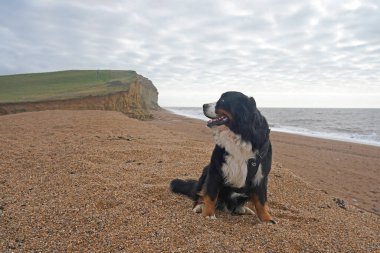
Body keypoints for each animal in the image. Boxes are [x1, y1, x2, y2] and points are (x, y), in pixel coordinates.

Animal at [171, 92, 274, 222]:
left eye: (223, 100)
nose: (203, 105)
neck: (239, 134)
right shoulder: (215, 169)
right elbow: (210, 194)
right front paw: (208, 214)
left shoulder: (261, 175)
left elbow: (261, 201)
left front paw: (266, 219)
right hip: (205, 171)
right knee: (200, 195)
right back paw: (200, 206)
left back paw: (243, 209)